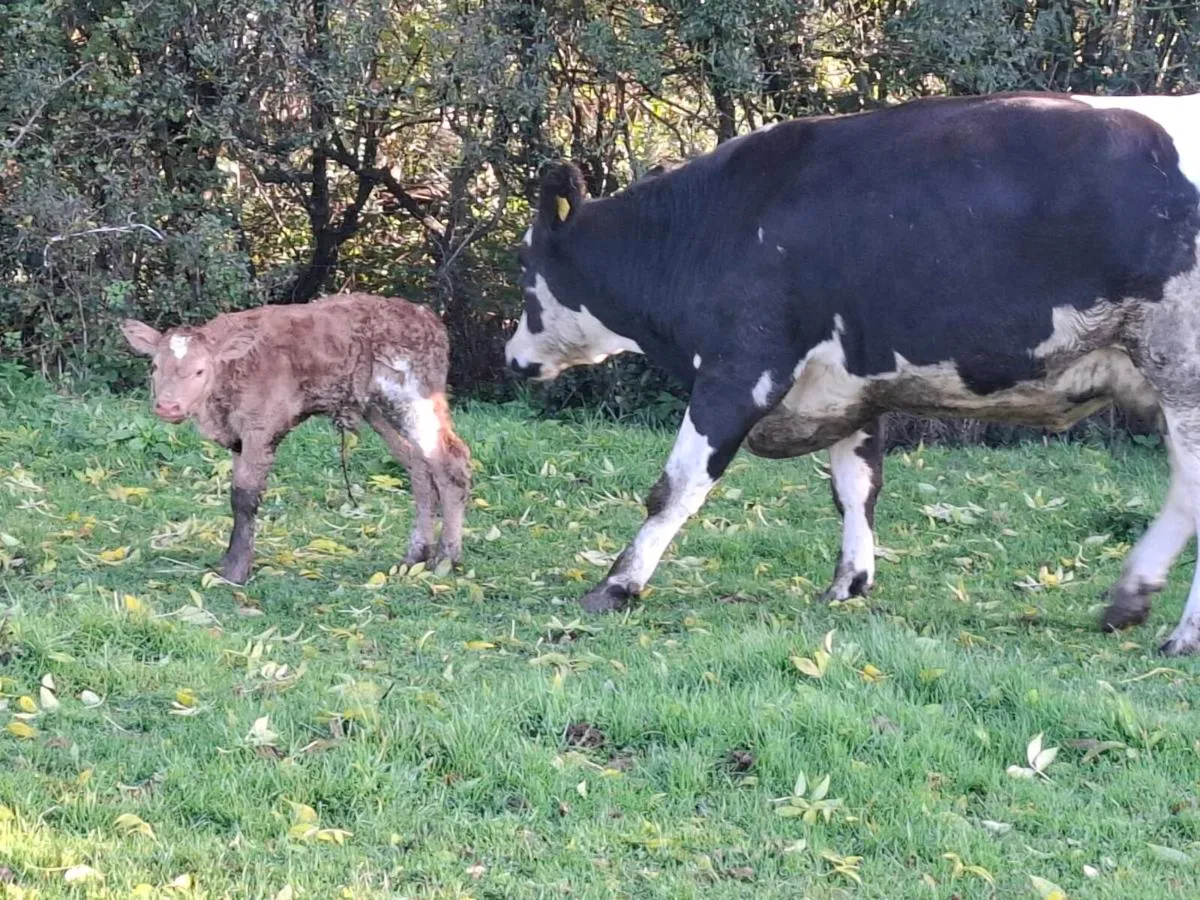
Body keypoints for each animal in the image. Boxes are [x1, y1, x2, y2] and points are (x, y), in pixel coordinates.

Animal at [122, 293, 472, 585]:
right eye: (155, 366)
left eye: (199, 371)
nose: (168, 406)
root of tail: (425, 316)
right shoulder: (238, 437)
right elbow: (236, 496)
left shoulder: (261, 428)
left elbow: (244, 497)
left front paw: (236, 571)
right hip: (378, 410)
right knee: (419, 468)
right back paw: (415, 555)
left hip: (415, 399)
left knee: (451, 463)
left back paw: (445, 558)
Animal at [505, 91, 1200, 655]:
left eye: (525, 267)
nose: (511, 358)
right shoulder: (848, 390)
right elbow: (855, 487)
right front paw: (849, 583)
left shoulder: (741, 368)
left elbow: (675, 487)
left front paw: (618, 584)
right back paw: (1129, 601)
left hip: (1182, 372)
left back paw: (1180, 635)